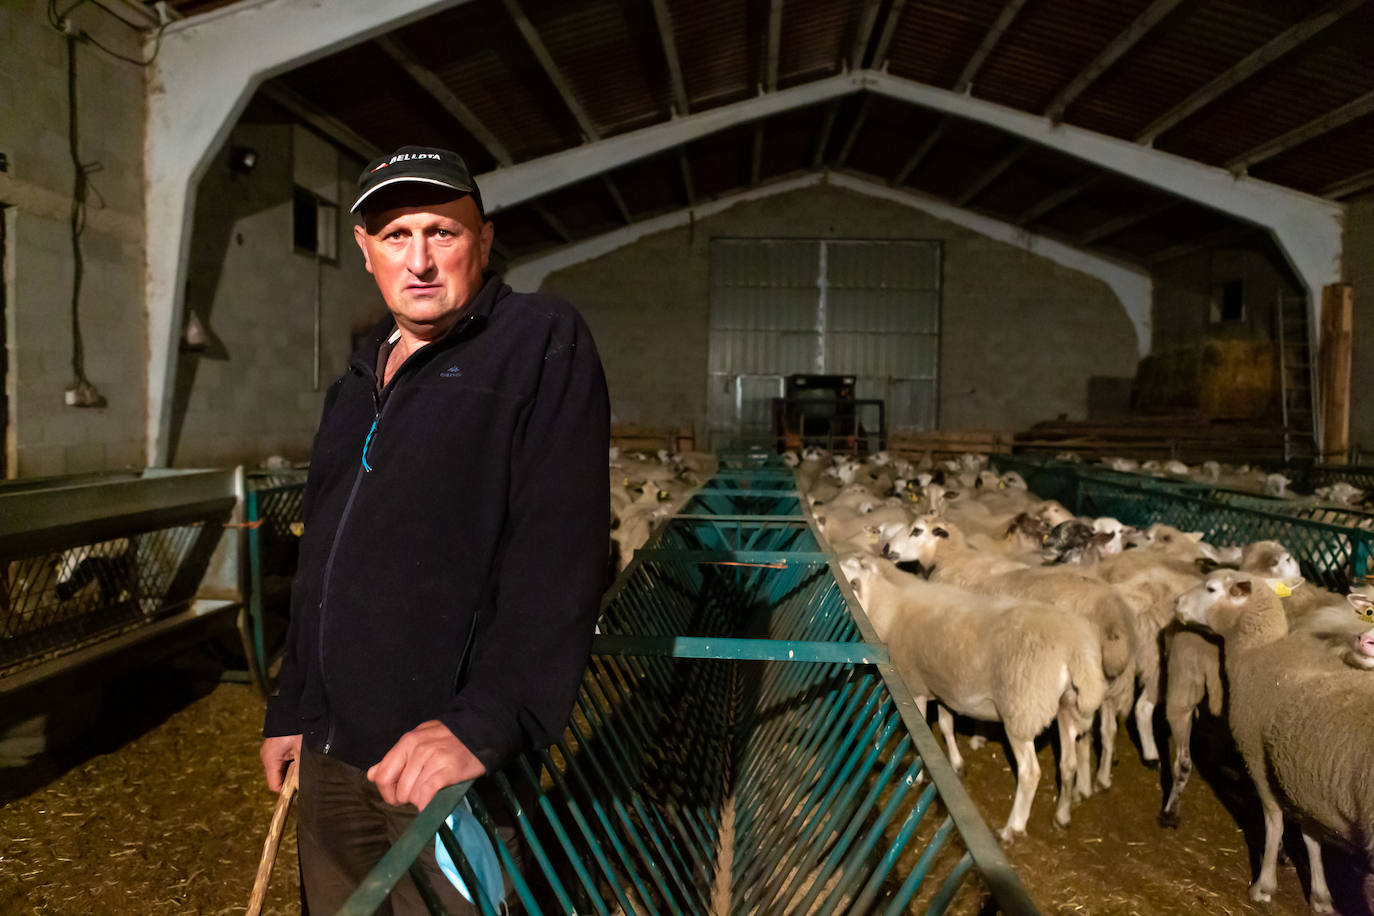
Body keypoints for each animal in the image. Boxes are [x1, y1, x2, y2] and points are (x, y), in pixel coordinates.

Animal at [835, 554, 1104, 840]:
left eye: (849, 582)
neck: (889, 607)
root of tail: (1075, 648)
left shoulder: (912, 685)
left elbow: (915, 733)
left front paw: (916, 776)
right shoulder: (942, 688)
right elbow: (946, 725)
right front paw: (956, 763)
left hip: (1021, 710)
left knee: (1030, 772)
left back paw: (1013, 827)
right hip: (1068, 708)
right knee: (1068, 764)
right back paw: (1062, 816)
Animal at [1170, 568, 1374, 911]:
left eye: (1210, 588)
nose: (1177, 603)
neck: (1258, 650)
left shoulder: (1256, 754)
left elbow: (1274, 820)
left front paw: (1264, 885)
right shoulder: (1302, 776)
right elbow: (1311, 836)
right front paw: (1320, 896)